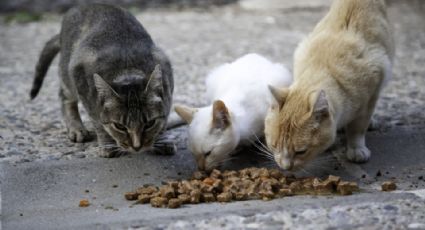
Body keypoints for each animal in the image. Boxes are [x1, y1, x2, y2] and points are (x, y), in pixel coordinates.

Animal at [29, 4, 174, 158]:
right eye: (120, 126)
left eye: (149, 123)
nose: (137, 147)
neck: (127, 67)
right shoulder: (82, 83)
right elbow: (99, 122)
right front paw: (107, 144)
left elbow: (164, 119)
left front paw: (162, 140)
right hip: (68, 75)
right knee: (64, 96)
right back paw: (76, 128)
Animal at [264, 0, 394, 171]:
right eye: (274, 146)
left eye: (301, 152)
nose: (285, 167)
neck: (322, 67)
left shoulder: (369, 97)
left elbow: (358, 128)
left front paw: (356, 148)